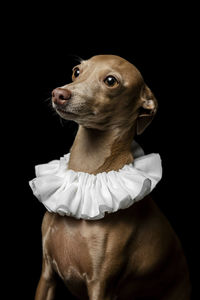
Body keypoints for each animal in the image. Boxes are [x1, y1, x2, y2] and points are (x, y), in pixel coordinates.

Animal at [34, 55, 191, 298]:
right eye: (76, 71)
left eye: (111, 80)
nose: (59, 94)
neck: (87, 173)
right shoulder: (47, 276)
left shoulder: (101, 286)